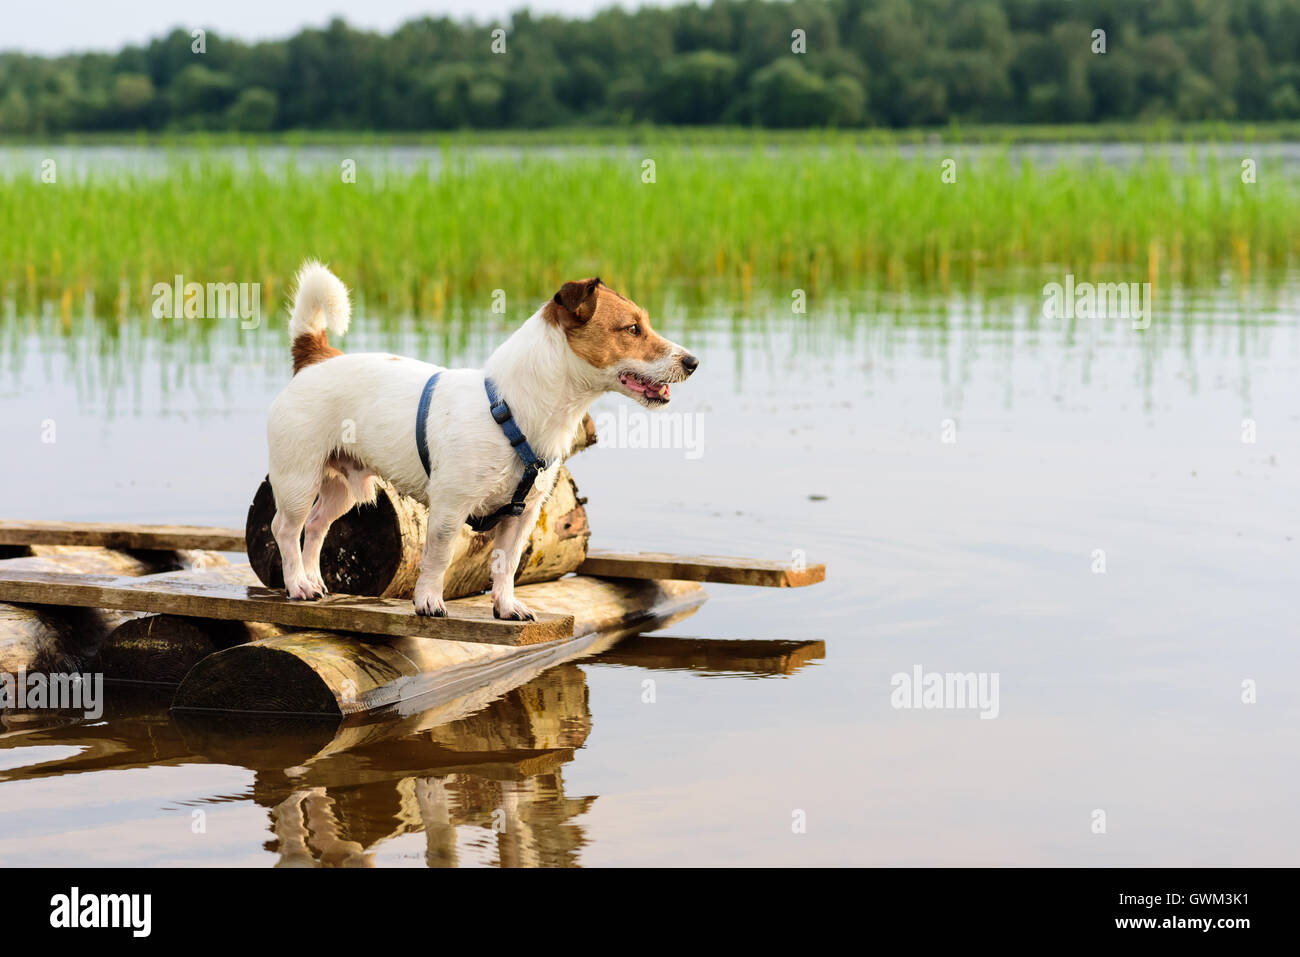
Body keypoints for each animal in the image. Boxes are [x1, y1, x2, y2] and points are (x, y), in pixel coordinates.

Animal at [266, 261, 702, 621]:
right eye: (632, 329)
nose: (693, 362)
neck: (514, 408)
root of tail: (316, 356)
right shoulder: (449, 508)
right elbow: (438, 558)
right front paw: (428, 601)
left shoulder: (522, 514)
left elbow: (506, 564)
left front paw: (506, 606)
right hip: (298, 479)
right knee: (285, 529)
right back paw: (298, 584)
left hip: (343, 487)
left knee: (317, 526)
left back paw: (313, 580)